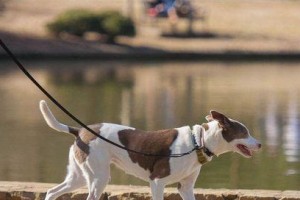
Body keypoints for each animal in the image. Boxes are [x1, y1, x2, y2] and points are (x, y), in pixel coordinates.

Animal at [39, 101, 260, 200]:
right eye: (244, 132)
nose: (259, 144)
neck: (198, 142)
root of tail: (80, 131)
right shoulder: (157, 181)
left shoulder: (186, 187)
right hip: (98, 178)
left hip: (78, 176)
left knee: (52, 192)